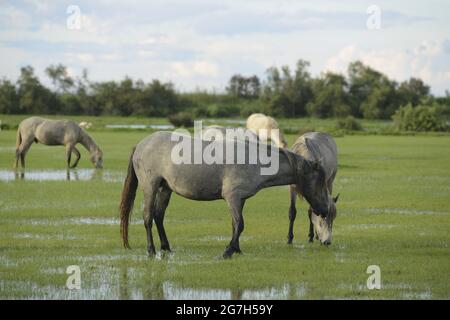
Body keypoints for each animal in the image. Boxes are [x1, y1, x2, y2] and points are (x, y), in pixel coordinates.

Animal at [119, 131, 330, 258]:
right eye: (320, 183)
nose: (325, 210)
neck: (253, 160)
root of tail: (141, 145)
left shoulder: (240, 200)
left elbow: (235, 225)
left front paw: (236, 248)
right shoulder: (232, 197)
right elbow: (240, 224)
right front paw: (228, 250)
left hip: (165, 189)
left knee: (158, 216)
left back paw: (166, 247)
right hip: (150, 187)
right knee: (148, 217)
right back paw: (151, 249)